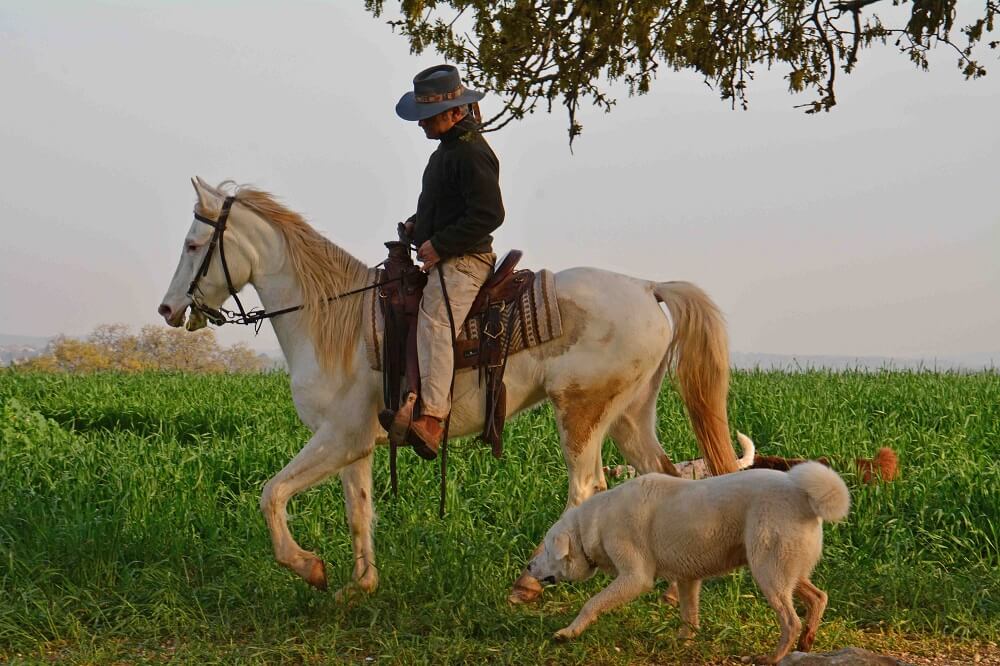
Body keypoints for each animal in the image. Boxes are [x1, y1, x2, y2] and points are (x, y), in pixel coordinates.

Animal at [156, 176, 736, 600]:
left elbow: (271, 494)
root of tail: (647, 286)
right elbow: (357, 511)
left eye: (193, 244)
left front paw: (308, 567)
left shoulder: (338, 437)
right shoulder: (356, 445)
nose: (167, 309)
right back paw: (673, 590)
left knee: (587, 486)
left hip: (581, 413)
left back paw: (530, 583)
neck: (334, 321)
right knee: (663, 477)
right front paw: (359, 586)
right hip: (629, 417)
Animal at [528, 460, 848, 660]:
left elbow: (591, 603)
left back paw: (773, 657)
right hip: (783, 573)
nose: (527, 567)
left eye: (546, 550)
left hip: (768, 573)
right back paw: (806, 642)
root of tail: (805, 496)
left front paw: (568, 633)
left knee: (791, 621)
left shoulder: (635, 578)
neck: (594, 522)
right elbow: (689, 615)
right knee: (819, 597)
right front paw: (684, 641)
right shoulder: (688, 580)